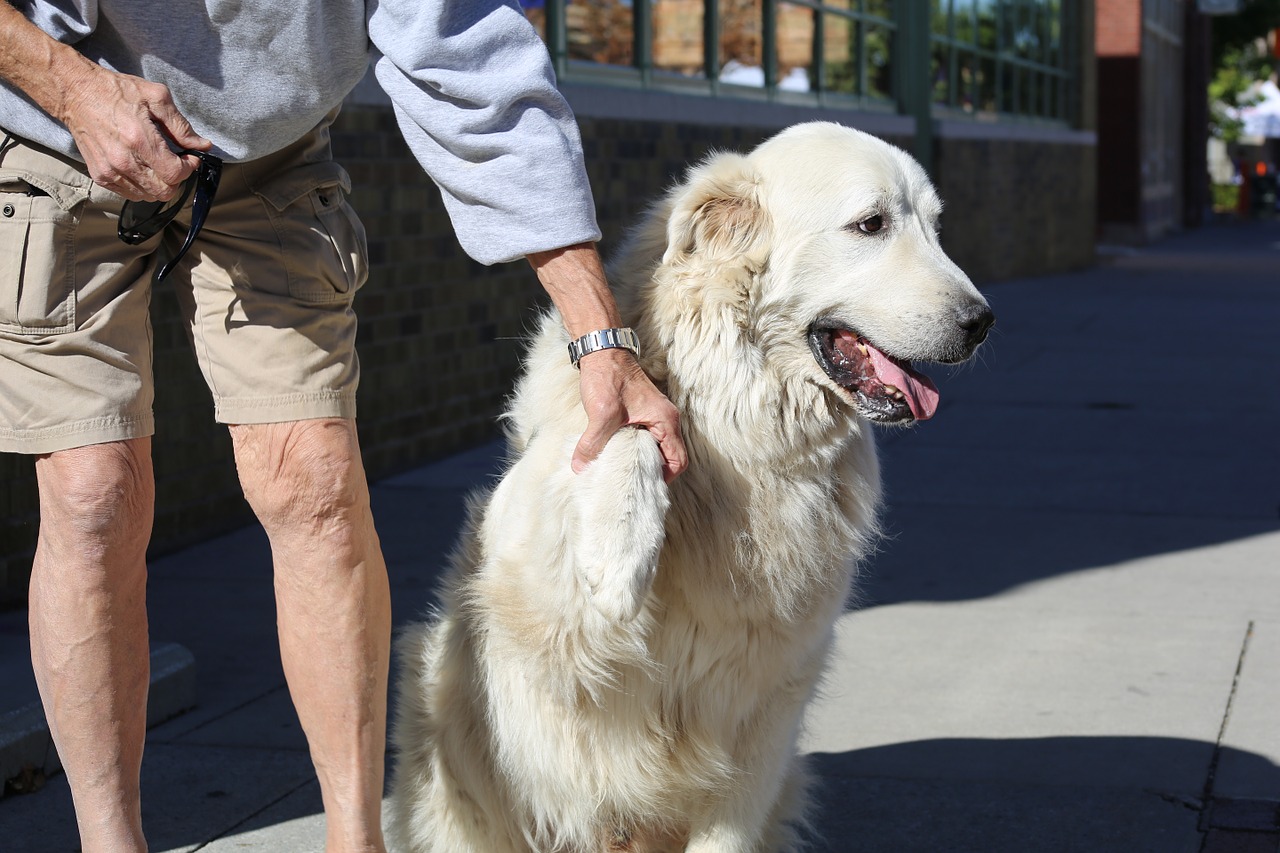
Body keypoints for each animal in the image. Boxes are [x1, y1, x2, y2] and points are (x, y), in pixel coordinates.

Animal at [384, 121, 993, 850]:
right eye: (871, 224)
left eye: (934, 227)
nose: (982, 322)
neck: (735, 436)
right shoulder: (533, 606)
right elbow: (634, 422)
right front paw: (620, 553)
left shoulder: (762, 720)